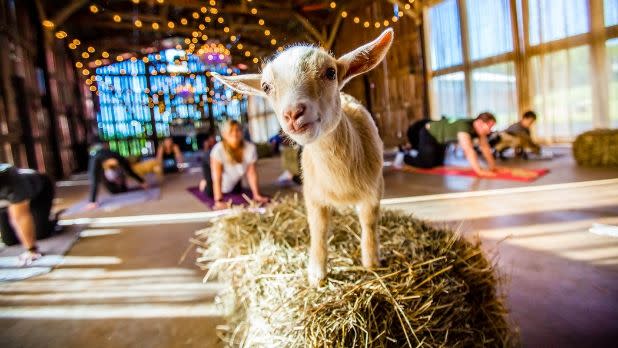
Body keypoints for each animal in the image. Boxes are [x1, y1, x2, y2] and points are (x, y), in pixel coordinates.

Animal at [212, 28, 394, 286]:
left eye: (330, 73)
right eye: (266, 86)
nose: (293, 113)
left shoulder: (374, 191)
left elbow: (369, 224)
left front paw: (371, 263)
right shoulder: (313, 195)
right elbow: (318, 231)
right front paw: (317, 274)